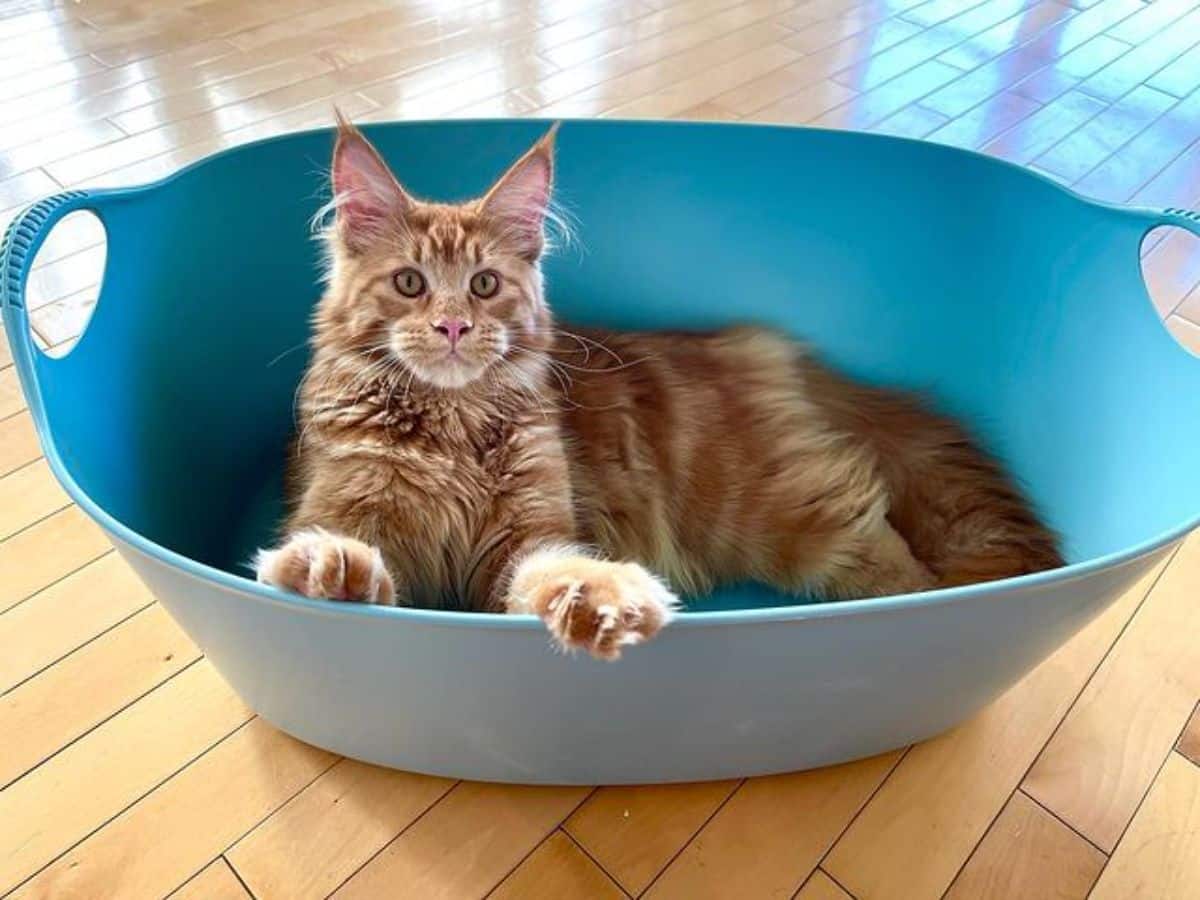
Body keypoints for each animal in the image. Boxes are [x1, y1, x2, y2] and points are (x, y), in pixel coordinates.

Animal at [258, 116, 1065, 657]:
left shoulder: (530, 539)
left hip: (807, 527)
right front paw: (323, 570)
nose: (454, 326)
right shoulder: (350, 509)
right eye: (410, 284)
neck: (452, 423)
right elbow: (349, 560)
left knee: (910, 572)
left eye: (484, 285)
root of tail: (762, 348)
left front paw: (605, 601)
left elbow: (555, 573)